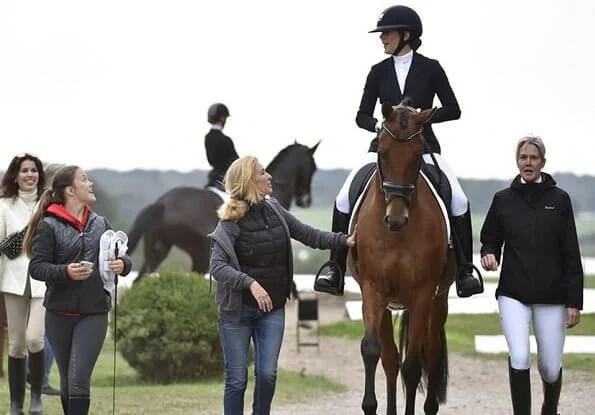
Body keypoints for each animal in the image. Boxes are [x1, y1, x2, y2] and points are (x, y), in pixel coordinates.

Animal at [128, 142, 318, 282]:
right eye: (312, 167)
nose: (306, 200)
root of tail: (161, 203)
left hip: (158, 249)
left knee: (140, 279)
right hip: (201, 255)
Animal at [350, 101, 456, 415]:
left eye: (418, 154)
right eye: (382, 151)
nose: (395, 219)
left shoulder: (423, 294)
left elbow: (413, 365)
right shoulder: (373, 290)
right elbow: (373, 350)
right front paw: (370, 406)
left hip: (438, 300)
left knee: (430, 351)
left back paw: (430, 406)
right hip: (388, 304)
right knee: (390, 359)